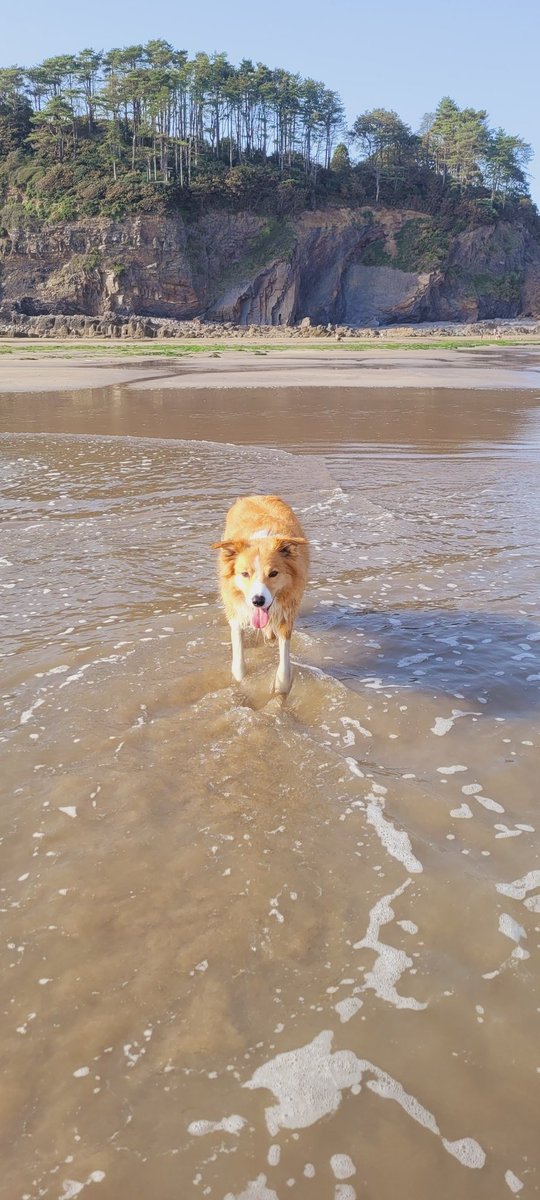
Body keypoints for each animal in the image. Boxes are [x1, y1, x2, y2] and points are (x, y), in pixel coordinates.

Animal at [213, 492, 309, 691]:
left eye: (273, 573)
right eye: (244, 574)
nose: (258, 601)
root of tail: (257, 496)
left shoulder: (287, 611)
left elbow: (284, 672)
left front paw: (280, 688)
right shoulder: (236, 610)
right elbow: (239, 667)